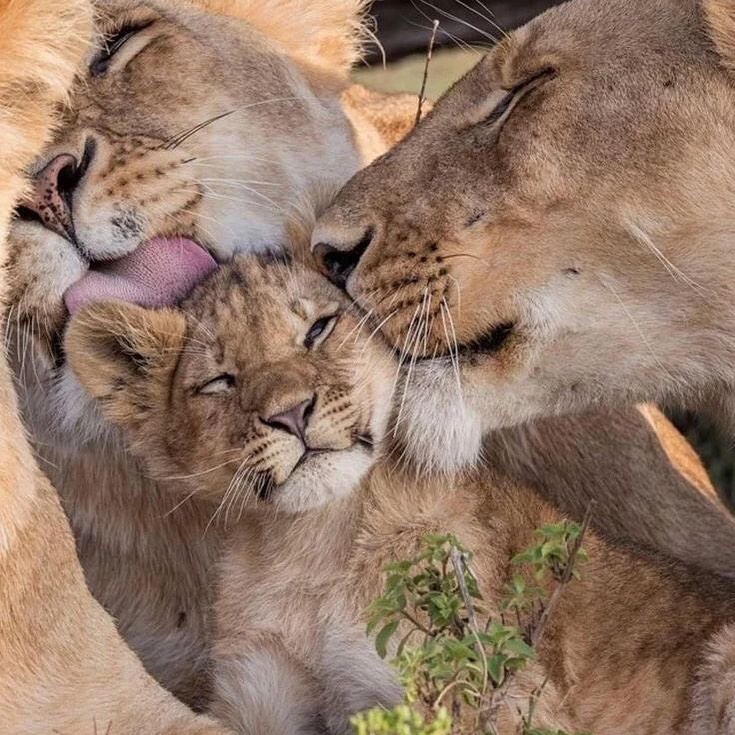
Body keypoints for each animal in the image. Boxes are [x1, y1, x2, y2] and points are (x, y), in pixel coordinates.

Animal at [64, 253, 735, 735]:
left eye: (318, 329)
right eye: (219, 382)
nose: (292, 413)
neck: (312, 547)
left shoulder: (492, 697)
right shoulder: (260, 695)